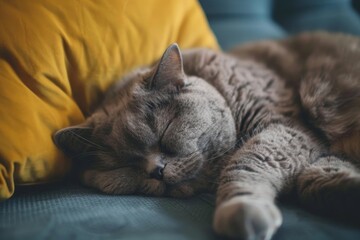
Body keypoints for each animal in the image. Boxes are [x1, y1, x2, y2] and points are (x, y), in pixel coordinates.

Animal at [53, 32, 360, 240]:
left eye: (165, 131)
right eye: (124, 165)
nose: (157, 170)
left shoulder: (287, 126)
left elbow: (250, 159)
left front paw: (241, 209)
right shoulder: (304, 139)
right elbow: (313, 180)